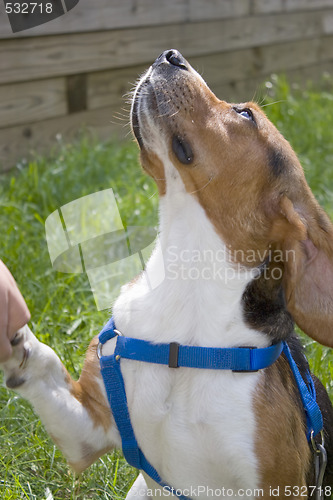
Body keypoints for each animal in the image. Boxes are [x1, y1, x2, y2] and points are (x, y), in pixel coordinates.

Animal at [1, 49, 332, 496]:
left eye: (245, 113)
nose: (169, 55)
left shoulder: (278, 483)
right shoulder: (87, 429)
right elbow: (47, 364)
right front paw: (16, 341)